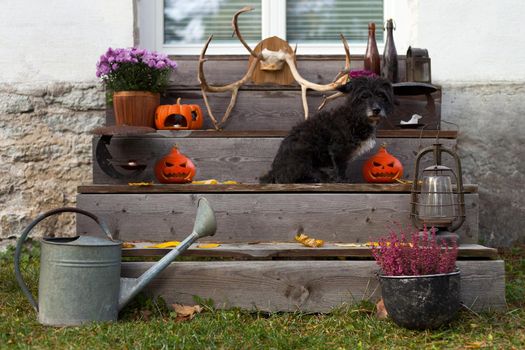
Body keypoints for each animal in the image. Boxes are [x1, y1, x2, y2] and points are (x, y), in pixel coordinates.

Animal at [258, 76, 392, 183]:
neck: (355, 117)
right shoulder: (338, 149)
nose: (376, 110)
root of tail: (275, 172)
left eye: (381, 95)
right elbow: (340, 166)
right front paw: (343, 180)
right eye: (364, 96)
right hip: (303, 153)